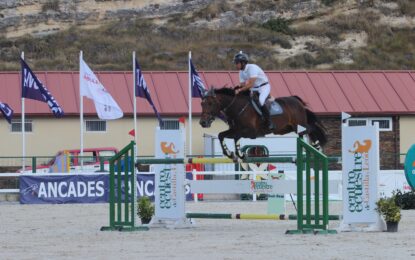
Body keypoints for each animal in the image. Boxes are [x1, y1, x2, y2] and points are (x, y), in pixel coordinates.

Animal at [199, 87, 328, 159]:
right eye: (202, 104)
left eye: (210, 103)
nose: (203, 122)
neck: (238, 108)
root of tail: (297, 100)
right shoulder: (234, 129)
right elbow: (221, 135)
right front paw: (229, 153)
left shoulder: (251, 132)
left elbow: (236, 137)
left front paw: (239, 154)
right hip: (288, 128)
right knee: (307, 131)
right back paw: (316, 147)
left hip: (298, 125)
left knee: (311, 128)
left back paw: (317, 147)